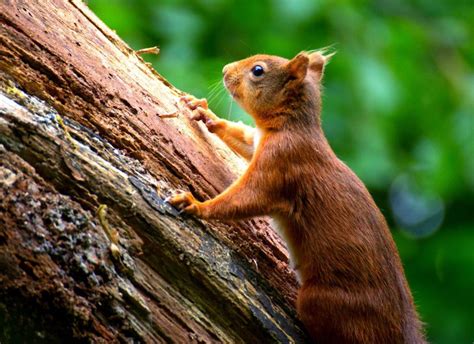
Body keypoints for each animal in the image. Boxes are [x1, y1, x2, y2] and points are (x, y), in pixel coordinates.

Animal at [169, 49, 426, 342]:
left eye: (258, 70)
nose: (225, 70)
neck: (289, 125)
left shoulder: (281, 162)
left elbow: (244, 199)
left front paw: (196, 204)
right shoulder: (258, 142)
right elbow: (243, 136)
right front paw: (202, 111)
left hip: (324, 302)